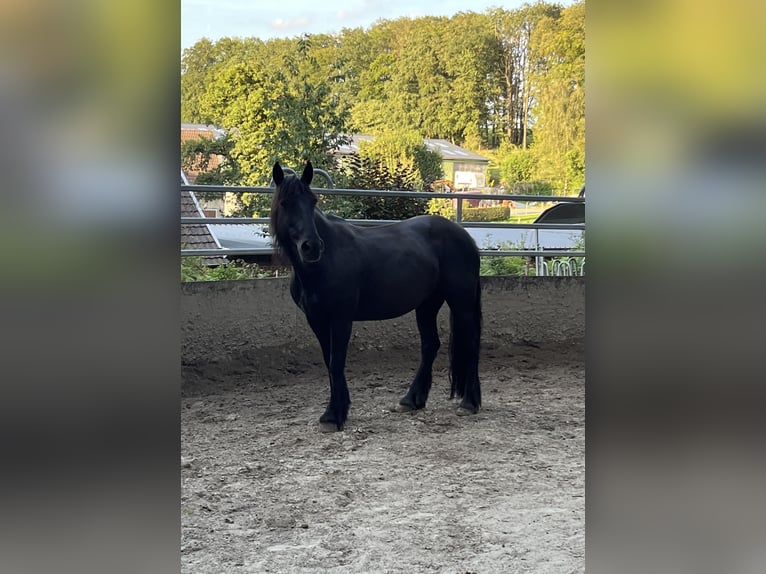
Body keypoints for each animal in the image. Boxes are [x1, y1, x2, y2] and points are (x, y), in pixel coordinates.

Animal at [270, 160, 482, 431]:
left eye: (313, 201)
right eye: (285, 203)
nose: (312, 247)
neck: (324, 263)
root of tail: (465, 237)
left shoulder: (341, 319)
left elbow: (336, 362)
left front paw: (333, 415)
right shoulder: (316, 320)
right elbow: (329, 362)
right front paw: (338, 410)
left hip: (461, 302)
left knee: (471, 343)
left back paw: (469, 403)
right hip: (427, 304)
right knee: (430, 345)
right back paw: (411, 400)